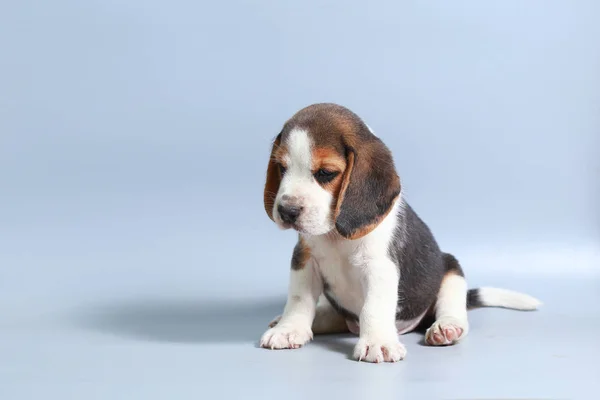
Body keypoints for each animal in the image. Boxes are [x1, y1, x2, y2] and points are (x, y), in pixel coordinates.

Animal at [260, 103, 540, 362]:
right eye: (281, 168)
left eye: (326, 173)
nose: (286, 211)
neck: (336, 235)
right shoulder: (305, 259)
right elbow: (299, 299)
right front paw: (288, 329)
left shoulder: (379, 267)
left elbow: (373, 307)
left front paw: (377, 343)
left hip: (451, 269)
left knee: (452, 306)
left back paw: (446, 327)